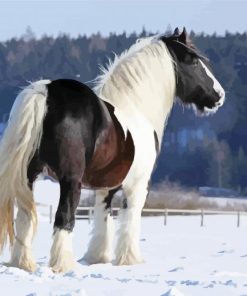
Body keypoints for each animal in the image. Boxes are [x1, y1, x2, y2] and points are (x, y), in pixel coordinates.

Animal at [0, 28, 225, 272]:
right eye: (193, 61)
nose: (219, 95)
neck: (136, 108)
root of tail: (46, 92)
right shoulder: (138, 186)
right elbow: (130, 220)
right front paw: (130, 259)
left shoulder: (105, 187)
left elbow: (102, 219)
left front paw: (97, 258)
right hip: (70, 180)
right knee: (63, 218)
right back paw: (64, 265)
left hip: (28, 176)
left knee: (24, 218)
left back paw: (22, 264)